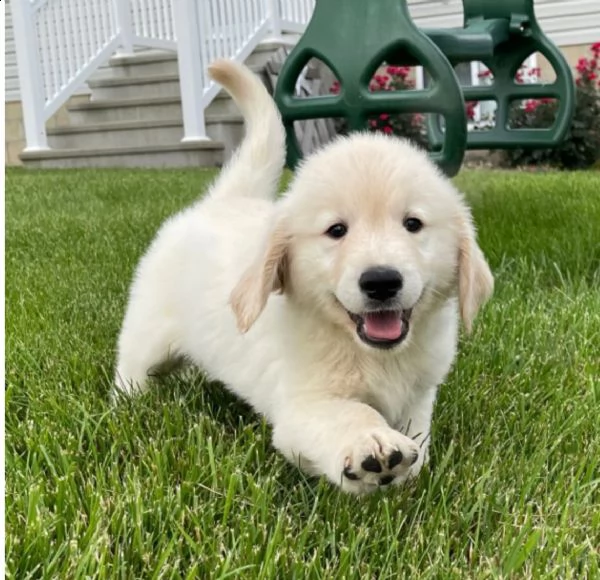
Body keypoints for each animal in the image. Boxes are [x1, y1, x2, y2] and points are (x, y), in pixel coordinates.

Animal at [113, 59, 492, 494]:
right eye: (336, 230)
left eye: (413, 224)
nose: (381, 281)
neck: (371, 354)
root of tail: (221, 201)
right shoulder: (301, 407)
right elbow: (348, 413)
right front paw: (372, 446)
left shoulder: (419, 395)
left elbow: (418, 441)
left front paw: (403, 474)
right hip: (146, 334)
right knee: (131, 370)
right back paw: (127, 403)